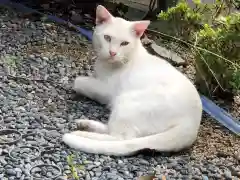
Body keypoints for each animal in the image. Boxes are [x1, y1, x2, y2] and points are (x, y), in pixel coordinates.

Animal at [62, 4, 202, 156]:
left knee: (121, 138)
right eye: (107, 38)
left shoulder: (107, 91)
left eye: (124, 43)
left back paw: (82, 134)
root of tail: (192, 126)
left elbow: (78, 81)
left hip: (126, 101)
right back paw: (85, 125)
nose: (112, 53)